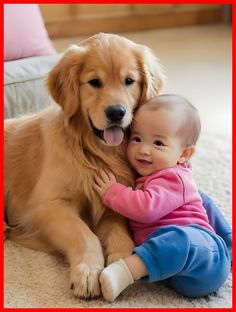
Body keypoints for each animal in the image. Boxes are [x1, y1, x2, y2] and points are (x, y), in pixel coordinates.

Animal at [5, 33, 164, 298]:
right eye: (94, 82)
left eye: (129, 81)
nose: (116, 112)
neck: (95, 153)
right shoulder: (47, 206)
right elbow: (83, 233)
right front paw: (88, 271)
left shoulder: (111, 203)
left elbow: (121, 233)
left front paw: (120, 262)